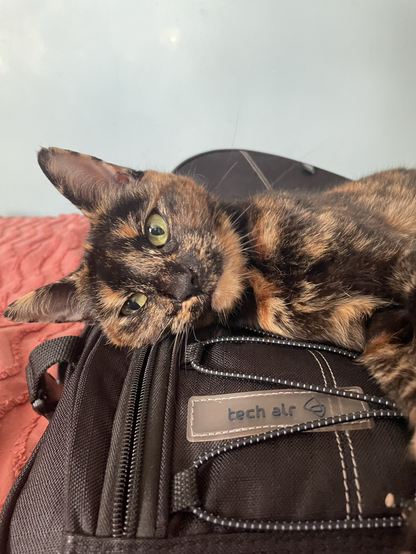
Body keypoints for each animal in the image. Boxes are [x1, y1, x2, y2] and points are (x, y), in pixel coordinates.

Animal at [4, 147, 416, 548]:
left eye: (156, 230)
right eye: (133, 304)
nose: (184, 282)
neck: (260, 280)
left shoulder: (398, 259)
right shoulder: (380, 334)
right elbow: (406, 378)